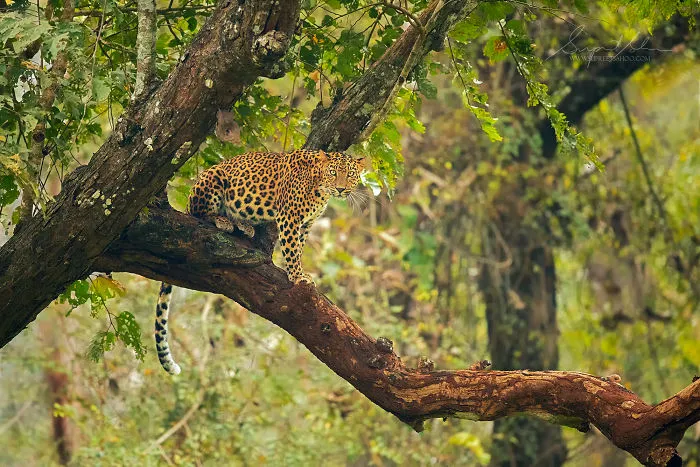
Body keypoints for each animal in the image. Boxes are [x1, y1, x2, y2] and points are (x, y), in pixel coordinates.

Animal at [154, 149, 366, 375]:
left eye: (350, 174)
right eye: (333, 172)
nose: (341, 188)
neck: (320, 187)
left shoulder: (306, 224)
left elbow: (298, 247)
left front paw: (299, 272)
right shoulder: (289, 217)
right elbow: (291, 249)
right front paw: (297, 276)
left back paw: (243, 225)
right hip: (213, 178)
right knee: (201, 213)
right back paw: (222, 221)